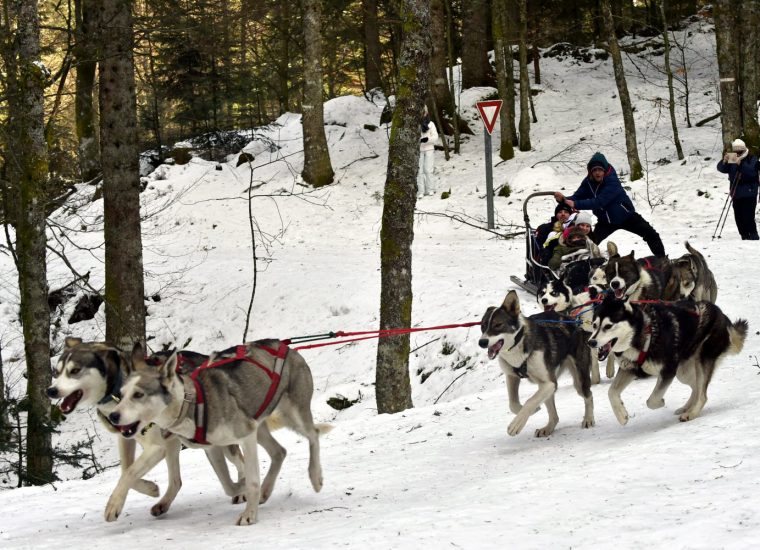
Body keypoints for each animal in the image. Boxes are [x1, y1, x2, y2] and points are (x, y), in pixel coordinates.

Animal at [46, 338, 249, 520]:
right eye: (56, 372)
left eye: (74, 370)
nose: (51, 390)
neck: (117, 390)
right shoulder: (126, 438)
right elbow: (126, 470)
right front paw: (150, 488)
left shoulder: (156, 448)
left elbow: (129, 472)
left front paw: (114, 505)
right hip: (174, 443)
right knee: (176, 481)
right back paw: (163, 503)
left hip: (217, 442)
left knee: (240, 460)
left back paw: (242, 491)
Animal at [105, 340, 326, 528]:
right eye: (120, 395)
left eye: (138, 394)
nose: (113, 416)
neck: (190, 404)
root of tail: (285, 346)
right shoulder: (214, 448)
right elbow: (228, 485)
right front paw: (242, 489)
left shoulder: (245, 437)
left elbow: (252, 480)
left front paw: (249, 514)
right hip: (259, 427)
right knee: (279, 452)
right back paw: (266, 490)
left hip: (293, 415)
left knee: (313, 434)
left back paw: (315, 476)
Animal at [480, 288, 592, 440]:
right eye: (482, 326)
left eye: (498, 325)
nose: (482, 342)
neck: (519, 344)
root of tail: (571, 319)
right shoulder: (512, 377)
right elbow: (513, 404)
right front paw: (532, 411)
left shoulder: (550, 383)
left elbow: (530, 401)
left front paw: (516, 424)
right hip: (545, 386)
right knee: (554, 415)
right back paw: (548, 428)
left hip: (578, 380)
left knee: (588, 396)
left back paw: (589, 419)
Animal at [588, 296, 748, 424]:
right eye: (594, 325)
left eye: (608, 326)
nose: (591, 342)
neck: (645, 334)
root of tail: (721, 314)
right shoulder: (629, 369)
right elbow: (611, 392)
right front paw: (622, 415)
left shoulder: (668, 370)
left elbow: (651, 400)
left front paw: (660, 402)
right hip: (683, 371)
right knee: (696, 388)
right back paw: (686, 408)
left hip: (699, 362)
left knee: (703, 395)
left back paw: (691, 413)